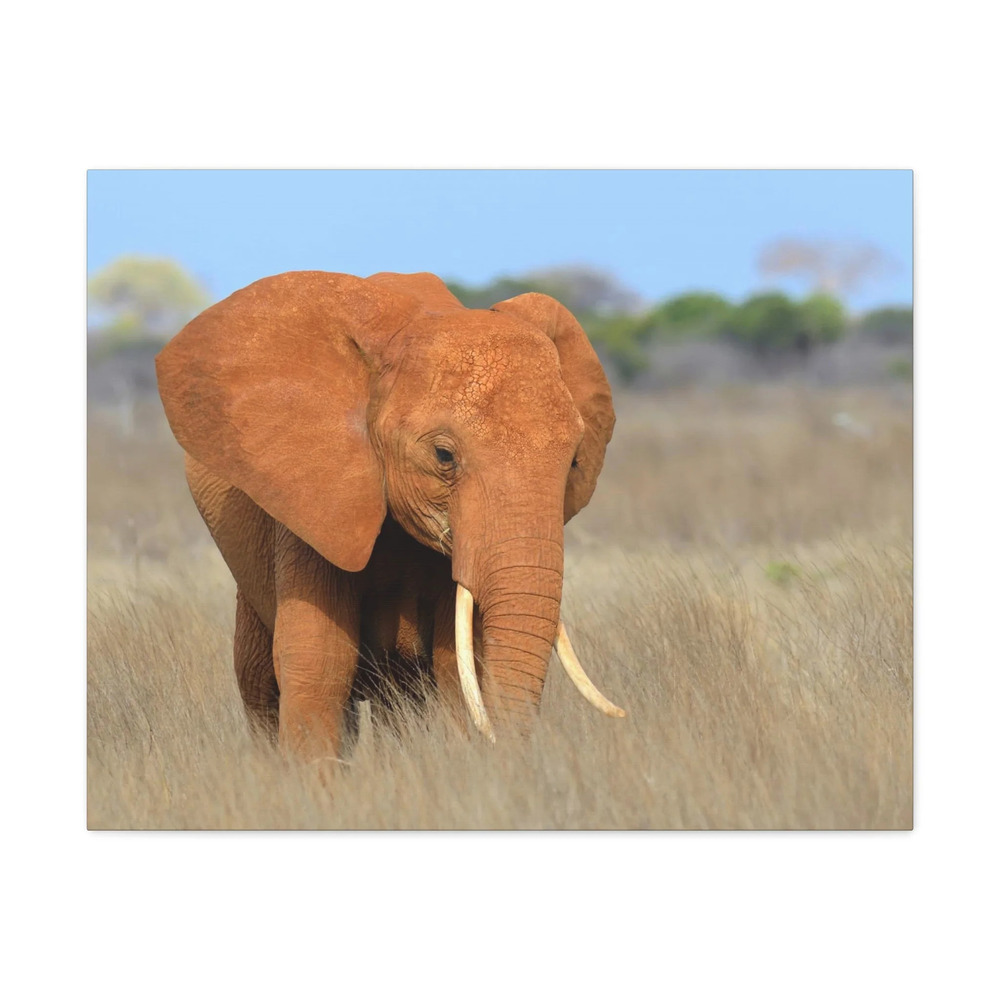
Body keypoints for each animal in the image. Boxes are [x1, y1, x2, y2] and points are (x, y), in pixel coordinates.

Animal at [155, 270, 624, 759]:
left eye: (574, 462)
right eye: (443, 455)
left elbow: (457, 663)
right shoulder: (308, 502)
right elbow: (319, 660)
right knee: (260, 682)